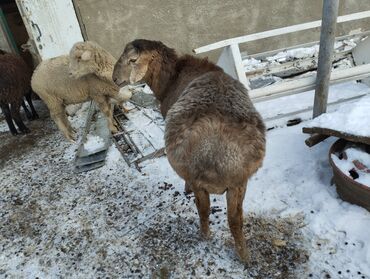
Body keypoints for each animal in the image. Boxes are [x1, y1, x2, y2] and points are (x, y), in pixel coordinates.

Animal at [113, 40, 266, 264]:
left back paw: (204, 235)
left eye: (132, 60)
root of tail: (218, 150)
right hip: (240, 183)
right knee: (235, 219)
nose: (114, 79)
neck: (170, 79)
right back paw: (244, 255)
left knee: (204, 210)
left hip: (199, 180)